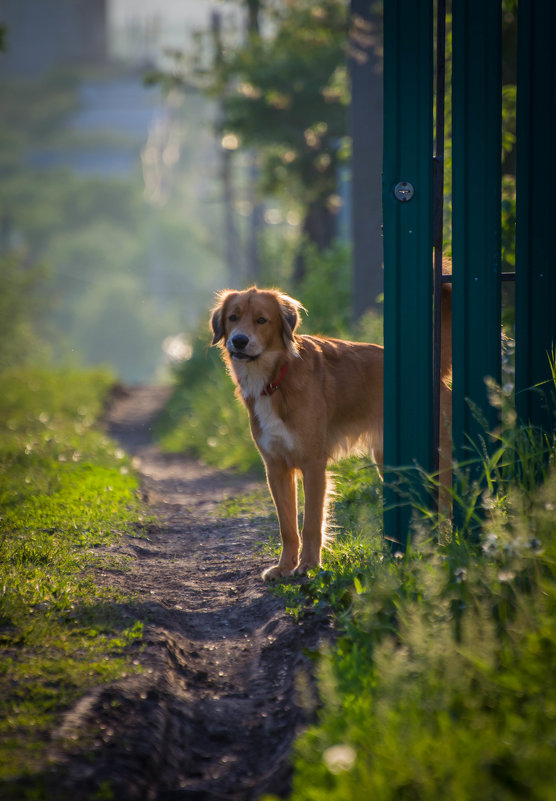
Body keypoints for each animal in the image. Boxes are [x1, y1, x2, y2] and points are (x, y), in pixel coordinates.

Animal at [210, 284, 452, 580]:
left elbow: (311, 524)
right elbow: (287, 527)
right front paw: (285, 567)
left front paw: (309, 565)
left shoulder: (313, 464)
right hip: (388, 464)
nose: (239, 341)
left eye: (261, 320)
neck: (276, 380)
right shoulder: (276, 468)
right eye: (233, 318)